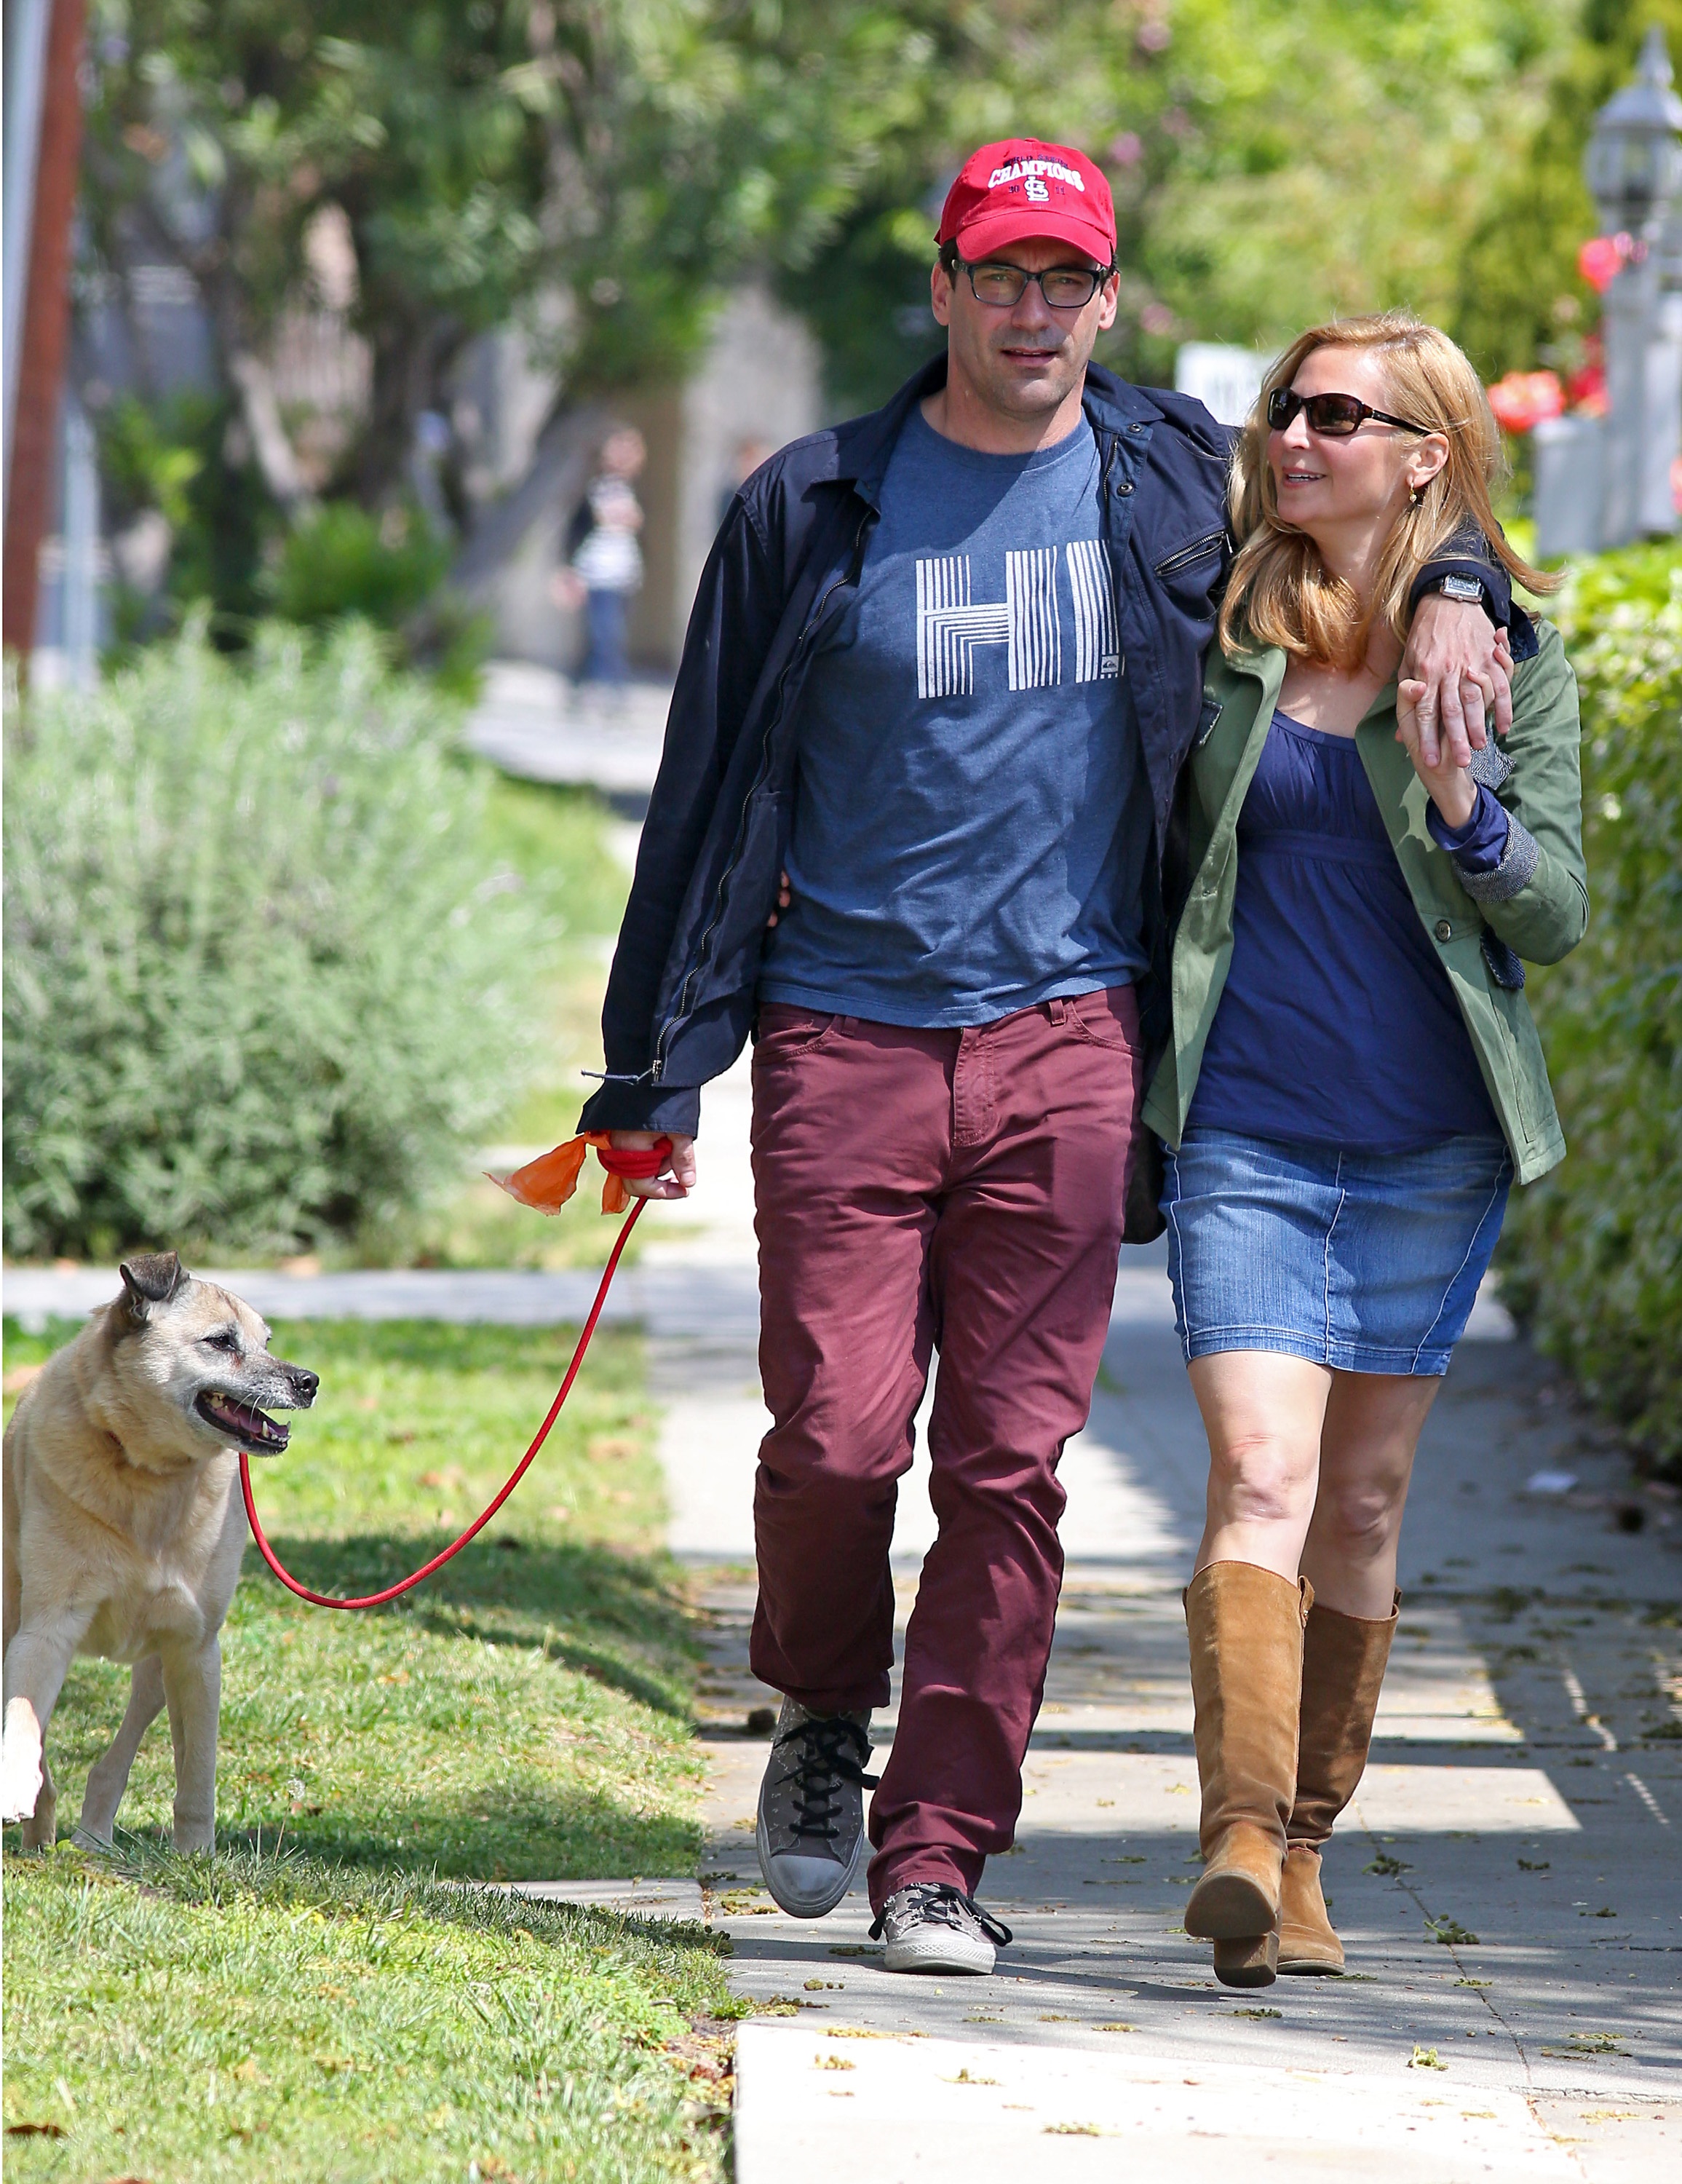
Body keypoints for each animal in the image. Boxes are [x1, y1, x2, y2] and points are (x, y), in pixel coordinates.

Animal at [2, 1258, 319, 1852]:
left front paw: (195, 1855)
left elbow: (197, 1770)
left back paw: (92, 1837)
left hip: (157, 1668)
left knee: (118, 1757)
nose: (309, 1382)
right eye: (221, 1342)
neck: (147, 1470)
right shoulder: (45, 1631)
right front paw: (15, 1787)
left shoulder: (195, 1650)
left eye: (266, 1342)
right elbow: (26, 1720)